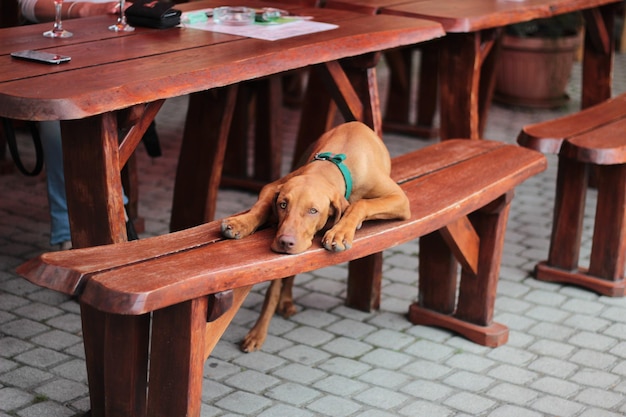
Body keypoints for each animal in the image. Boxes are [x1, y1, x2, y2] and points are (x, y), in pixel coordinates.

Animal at [219, 121, 410, 352]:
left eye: (313, 211)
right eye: (283, 205)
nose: (285, 242)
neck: (333, 166)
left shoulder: (400, 199)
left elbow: (360, 204)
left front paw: (340, 233)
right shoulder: (273, 186)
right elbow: (261, 205)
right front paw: (241, 222)